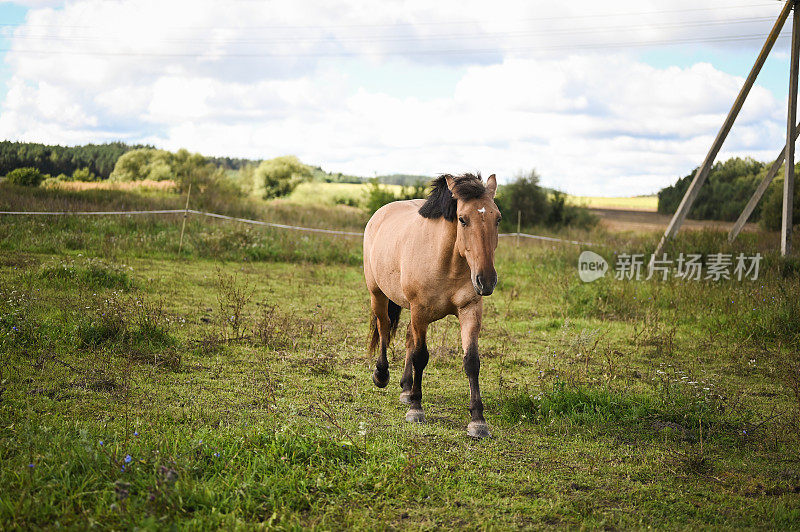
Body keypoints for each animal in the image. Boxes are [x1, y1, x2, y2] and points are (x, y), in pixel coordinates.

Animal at [364, 172, 500, 438]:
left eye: (497, 219)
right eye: (462, 219)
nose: (486, 280)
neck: (447, 261)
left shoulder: (470, 311)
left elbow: (472, 362)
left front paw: (478, 421)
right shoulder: (420, 311)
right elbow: (420, 356)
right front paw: (416, 409)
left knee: (407, 337)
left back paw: (406, 389)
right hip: (378, 294)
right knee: (384, 327)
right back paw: (382, 374)